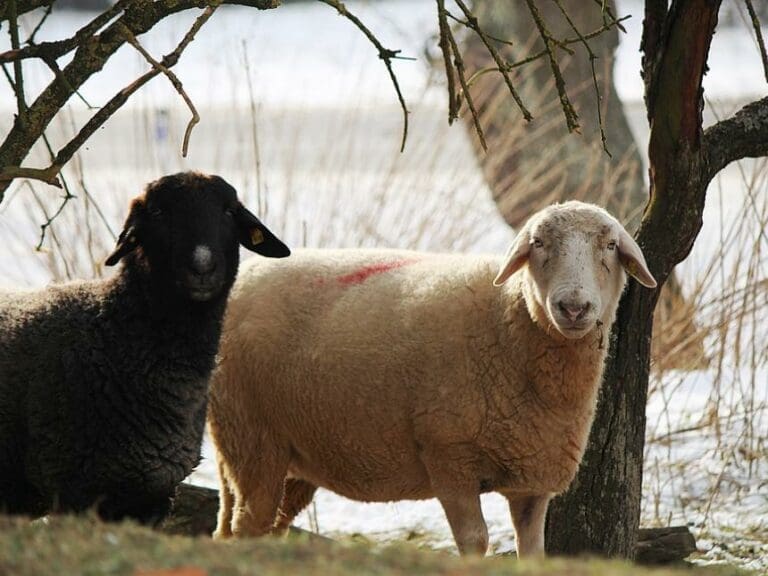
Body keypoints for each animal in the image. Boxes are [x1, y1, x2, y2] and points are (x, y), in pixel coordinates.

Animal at [207, 200, 656, 557]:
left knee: (243, 527)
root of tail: (244, 278)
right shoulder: (448, 456)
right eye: (539, 244)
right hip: (253, 437)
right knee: (249, 525)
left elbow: (532, 550)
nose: (573, 307)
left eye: (610, 246)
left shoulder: (532, 478)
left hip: (277, 452)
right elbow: (475, 541)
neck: (508, 317)